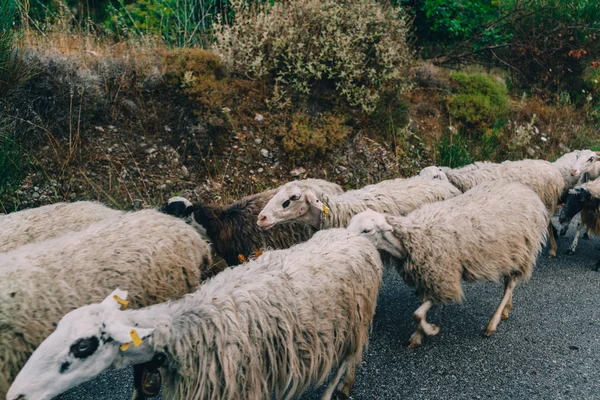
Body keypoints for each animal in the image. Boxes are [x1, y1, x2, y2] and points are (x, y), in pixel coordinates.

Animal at [7, 228, 382, 400]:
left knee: (345, 363)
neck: (185, 328)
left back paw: (332, 391)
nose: (17, 395)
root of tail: (353, 235)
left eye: (83, 346)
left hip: (354, 323)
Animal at [346, 181, 548, 346]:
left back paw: (493, 323)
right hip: (511, 254)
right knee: (508, 283)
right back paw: (506, 310)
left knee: (510, 285)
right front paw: (419, 335)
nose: (345, 241)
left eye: (366, 230)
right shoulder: (426, 275)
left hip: (524, 251)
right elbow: (420, 310)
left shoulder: (442, 276)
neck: (412, 237)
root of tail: (525, 190)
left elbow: (417, 314)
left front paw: (430, 330)